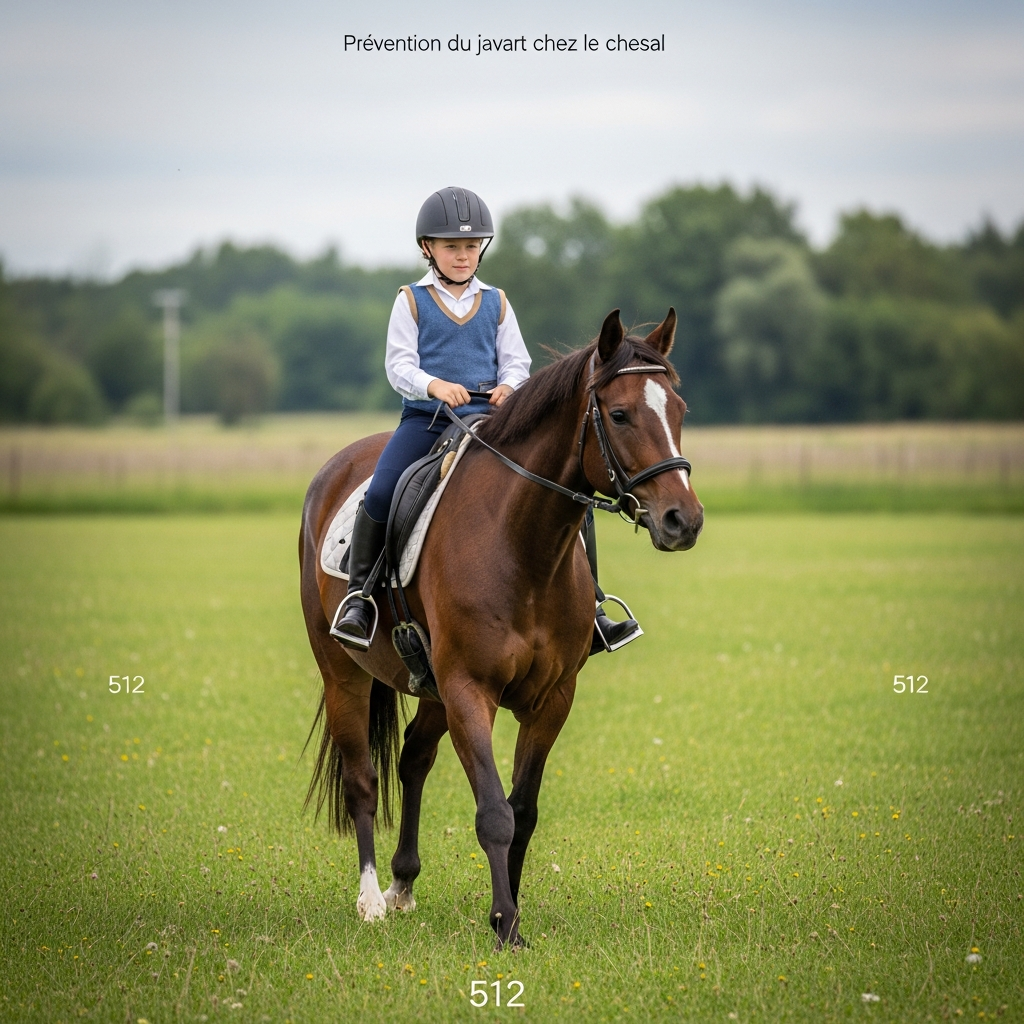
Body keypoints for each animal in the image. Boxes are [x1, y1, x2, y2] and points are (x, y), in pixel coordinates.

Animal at [298, 307, 703, 949]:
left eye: (679, 410)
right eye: (618, 414)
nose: (682, 520)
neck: (521, 547)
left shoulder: (552, 698)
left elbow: (524, 811)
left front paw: (504, 912)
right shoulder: (470, 690)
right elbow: (494, 813)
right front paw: (506, 927)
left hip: (430, 687)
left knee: (413, 760)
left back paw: (403, 884)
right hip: (344, 673)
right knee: (362, 777)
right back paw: (371, 900)